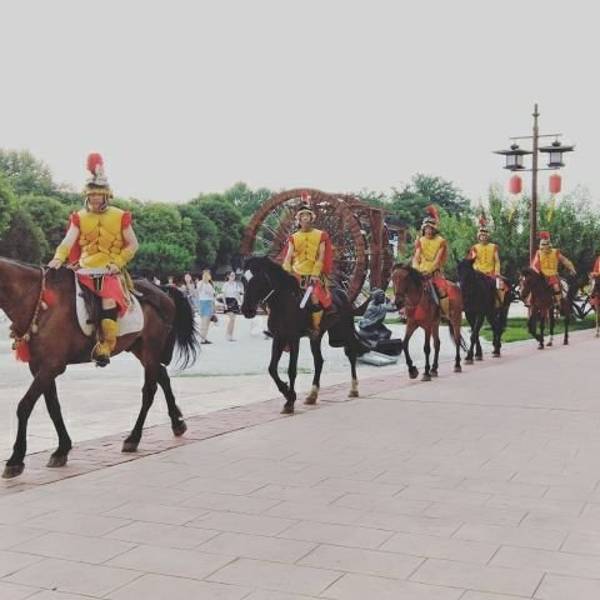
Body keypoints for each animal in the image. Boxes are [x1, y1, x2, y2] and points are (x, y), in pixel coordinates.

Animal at [0, 258, 199, 478]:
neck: (38, 300)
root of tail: (160, 289)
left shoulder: (51, 365)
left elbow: (25, 406)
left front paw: (16, 459)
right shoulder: (39, 366)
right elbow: (53, 407)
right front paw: (62, 449)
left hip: (151, 348)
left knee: (149, 390)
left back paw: (134, 438)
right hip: (139, 348)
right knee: (162, 376)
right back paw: (177, 422)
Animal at [241, 256, 368, 414]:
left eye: (258, 280)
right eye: (243, 280)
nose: (247, 310)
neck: (283, 303)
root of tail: (342, 293)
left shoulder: (294, 338)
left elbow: (292, 370)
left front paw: (290, 401)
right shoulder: (279, 337)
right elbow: (272, 368)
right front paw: (287, 392)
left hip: (345, 330)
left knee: (351, 354)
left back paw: (354, 388)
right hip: (316, 336)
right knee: (319, 361)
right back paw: (312, 395)